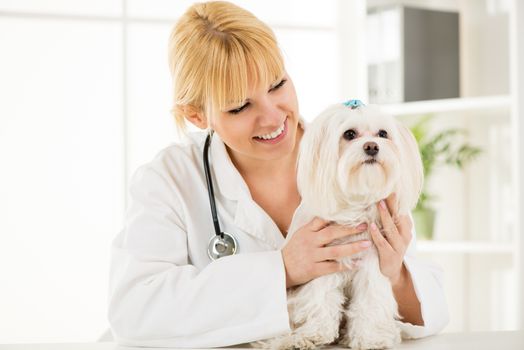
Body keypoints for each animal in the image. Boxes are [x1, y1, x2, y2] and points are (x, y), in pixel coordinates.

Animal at [256, 100, 424, 348]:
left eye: (383, 134)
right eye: (349, 134)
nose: (372, 146)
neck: (355, 204)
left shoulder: (372, 262)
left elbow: (370, 299)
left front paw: (370, 338)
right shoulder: (322, 262)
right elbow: (321, 298)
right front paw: (314, 335)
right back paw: (286, 340)